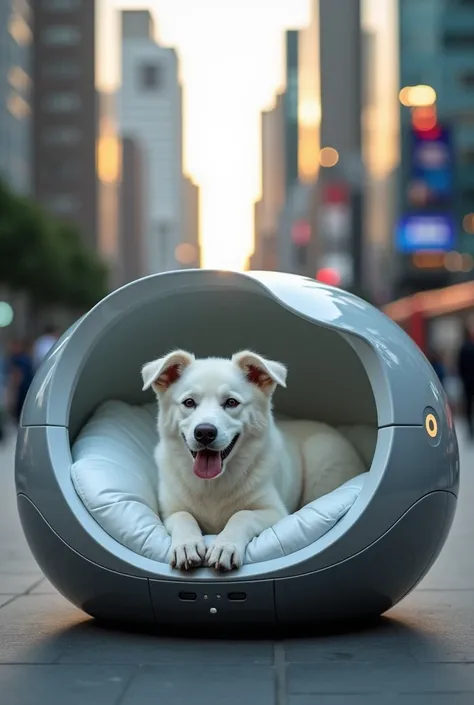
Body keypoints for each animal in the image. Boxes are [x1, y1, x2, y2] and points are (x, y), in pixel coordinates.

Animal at [140, 350, 362, 568]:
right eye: (189, 402)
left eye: (231, 402)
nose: (204, 433)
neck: (213, 484)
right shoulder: (169, 513)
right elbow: (183, 516)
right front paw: (187, 545)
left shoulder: (275, 512)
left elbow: (242, 515)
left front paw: (225, 546)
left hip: (323, 453)